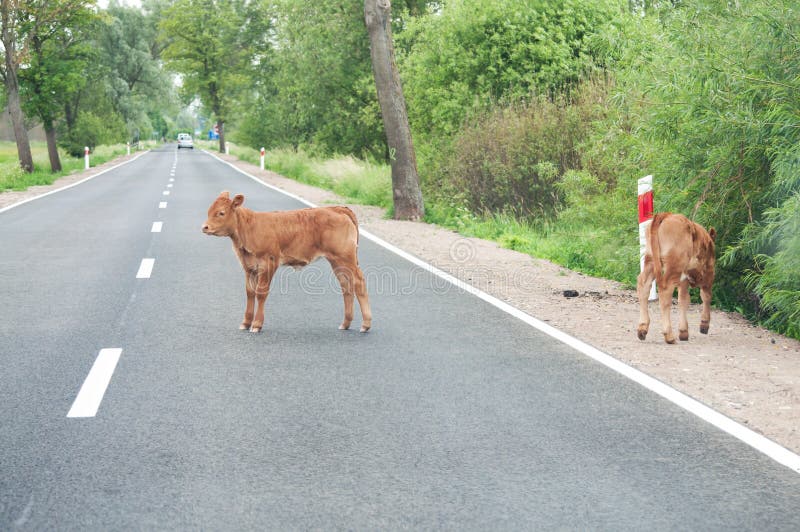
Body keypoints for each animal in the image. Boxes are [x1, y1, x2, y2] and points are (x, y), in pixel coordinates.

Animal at [203, 191, 372, 332]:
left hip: (345, 257)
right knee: (346, 285)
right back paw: (345, 323)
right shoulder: (248, 266)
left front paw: (256, 324)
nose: (205, 227)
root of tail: (337, 208)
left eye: (221, 212)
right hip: (337, 261)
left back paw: (366, 324)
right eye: (208, 211)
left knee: (359, 282)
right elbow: (250, 292)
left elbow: (261, 293)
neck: (248, 228)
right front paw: (245, 323)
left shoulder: (269, 263)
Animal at [636, 212, 720, 344]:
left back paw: (642, 329)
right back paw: (669, 335)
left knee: (643, 285)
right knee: (665, 291)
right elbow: (706, 296)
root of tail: (665, 215)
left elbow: (683, 299)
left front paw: (684, 332)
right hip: (674, 267)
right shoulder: (708, 273)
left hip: (650, 260)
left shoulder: (684, 278)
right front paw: (704, 324)